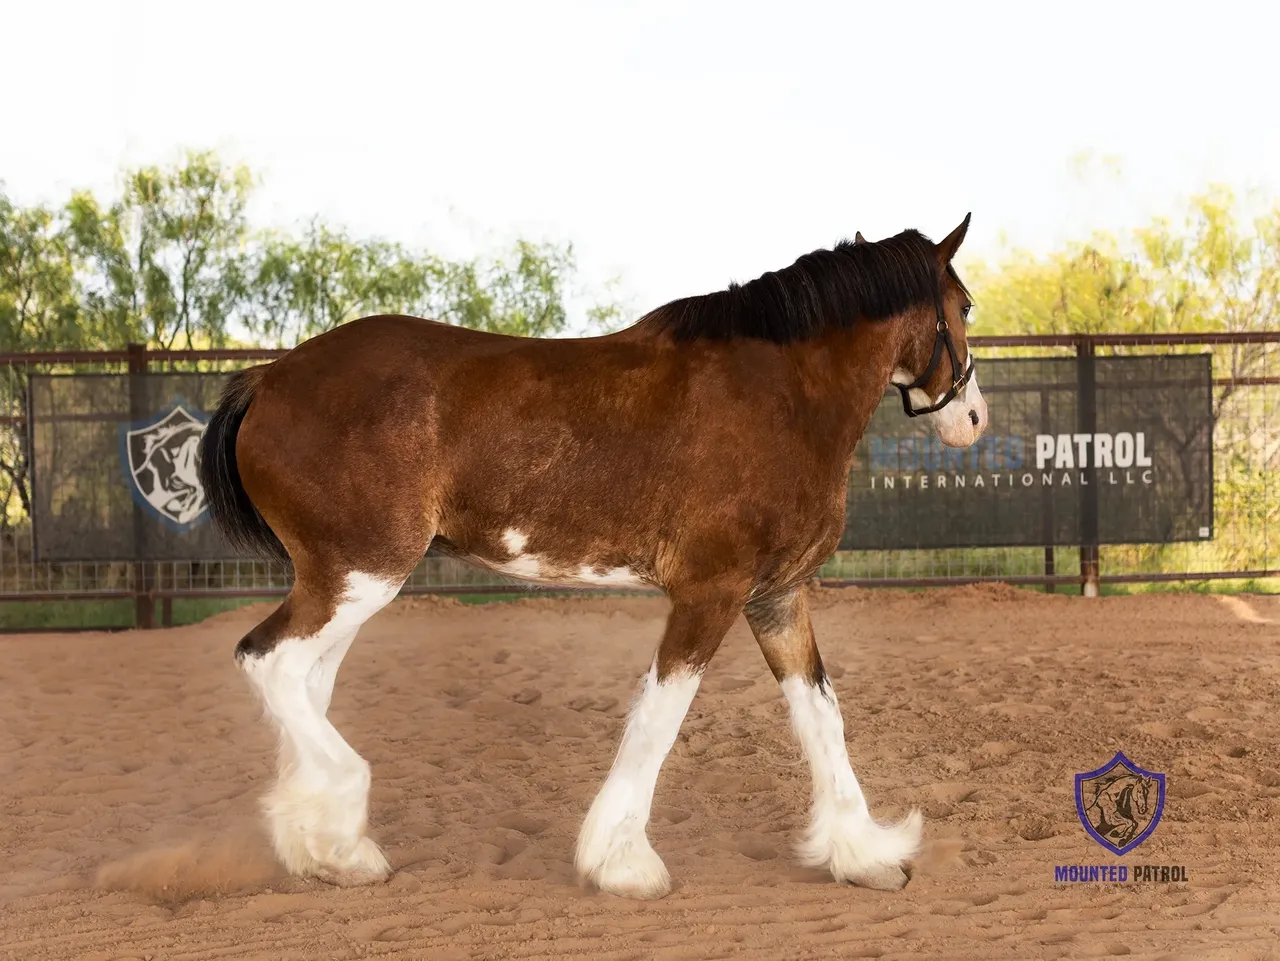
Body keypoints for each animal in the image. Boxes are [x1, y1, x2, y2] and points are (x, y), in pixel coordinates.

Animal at [197, 215, 988, 899]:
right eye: (965, 306)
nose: (973, 418)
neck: (781, 394)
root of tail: (267, 379)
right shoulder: (711, 592)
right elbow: (659, 720)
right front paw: (623, 864)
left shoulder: (777, 597)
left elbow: (823, 718)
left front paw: (864, 854)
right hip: (359, 576)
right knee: (270, 663)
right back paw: (338, 825)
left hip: (346, 586)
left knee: (306, 685)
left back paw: (327, 849)